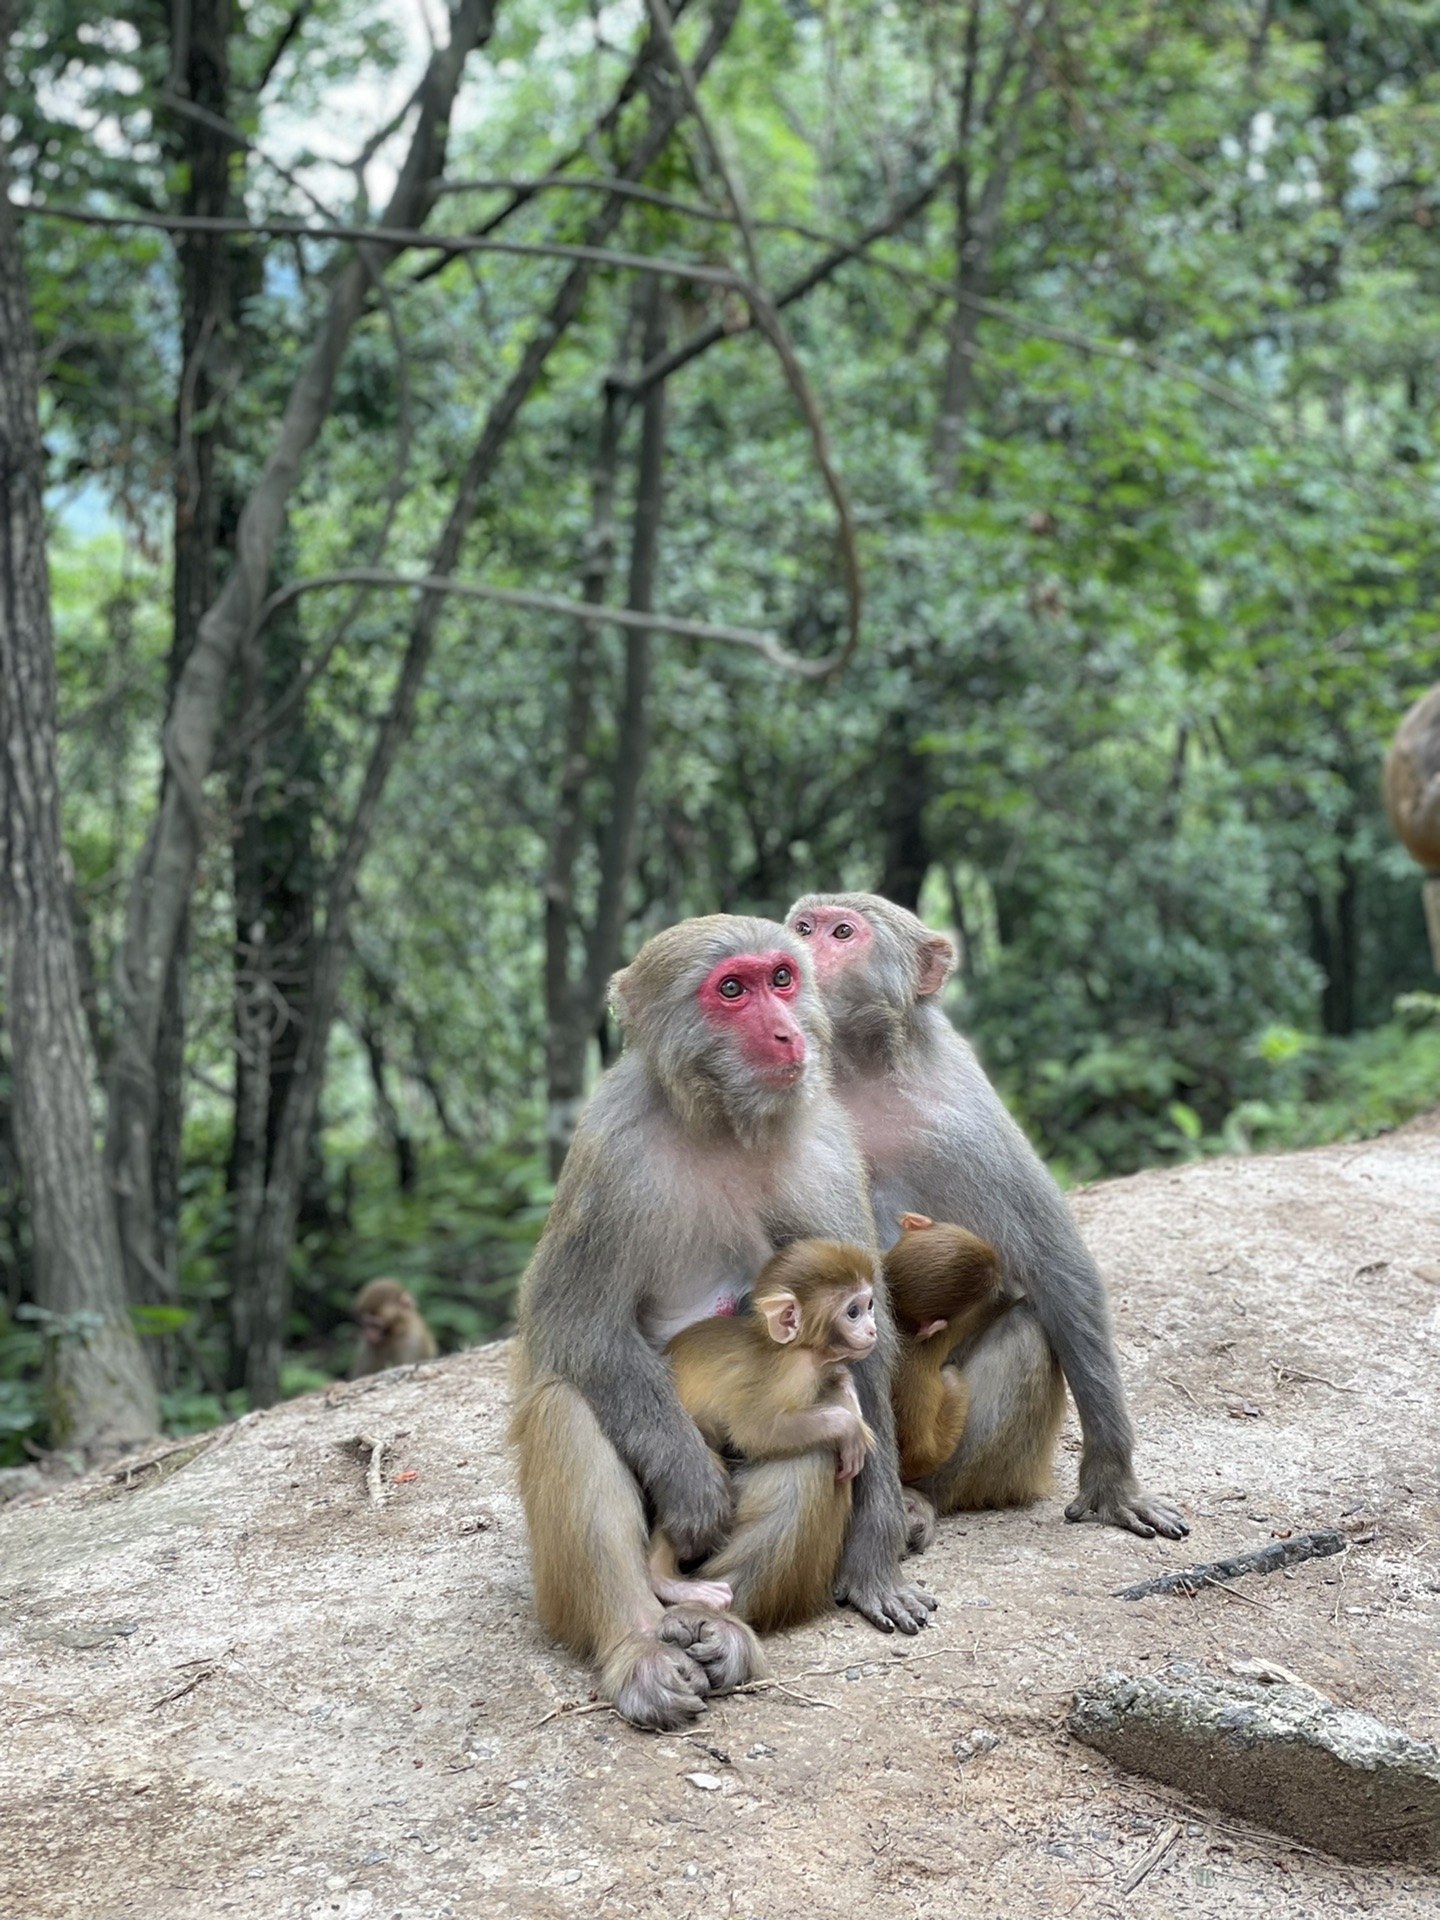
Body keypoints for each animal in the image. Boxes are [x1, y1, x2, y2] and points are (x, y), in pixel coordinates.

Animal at [652, 1236, 879, 1628]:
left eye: (869, 1305)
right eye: (853, 1312)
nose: (872, 1329)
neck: (798, 1347)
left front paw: (847, 1392)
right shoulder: (792, 1371)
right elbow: (755, 1430)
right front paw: (848, 1427)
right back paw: (667, 1581)